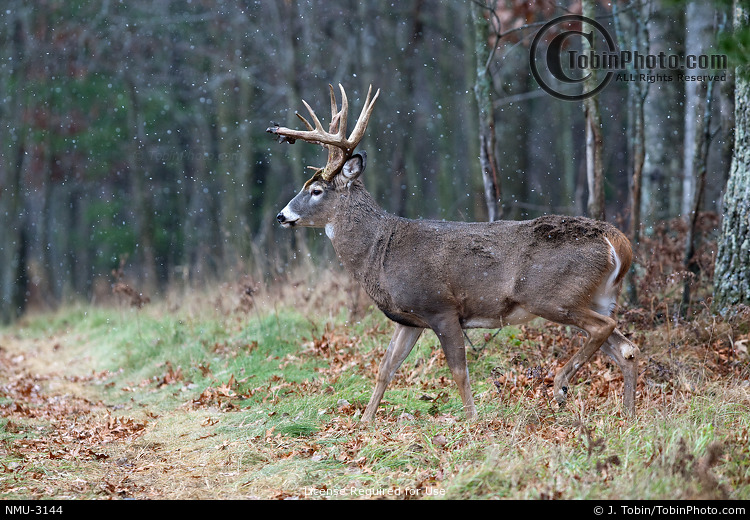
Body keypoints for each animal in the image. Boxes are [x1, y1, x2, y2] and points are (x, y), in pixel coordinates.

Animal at [268, 84, 639, 423]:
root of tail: (617, 241)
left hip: (551, 295)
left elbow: (459, 371)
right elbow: (385, 368)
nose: (282, 215)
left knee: (603, 328)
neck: (380, 251)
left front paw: (472, 421)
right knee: (626, 347)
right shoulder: (410, 318)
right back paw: (627, 415)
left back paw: (561, 385)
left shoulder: (441, 307)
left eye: (316, 190)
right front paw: (365, 422)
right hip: (597, 296)